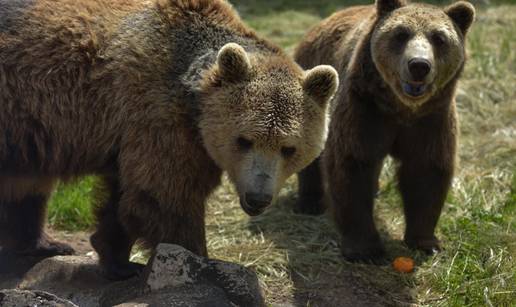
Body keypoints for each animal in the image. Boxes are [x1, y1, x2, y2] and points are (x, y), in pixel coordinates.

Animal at [0, 0, 338, 280]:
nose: (258, 197)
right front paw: (202, 262)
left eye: (288, 148)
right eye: (244, 140)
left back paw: (43, 243)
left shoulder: (135, 134)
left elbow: (126, 196)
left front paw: (118, 260)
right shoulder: (159, 115)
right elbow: (166, 195)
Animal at [294, 0, 476, 262]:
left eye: (439, 38)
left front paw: (426, 242)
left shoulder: (431, 119)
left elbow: (426, 171)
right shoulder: (364, 108)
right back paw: (309, 202)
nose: (419, 65)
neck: (400, 108)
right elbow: (352, 166)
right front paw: (365, 249)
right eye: (401, 34)